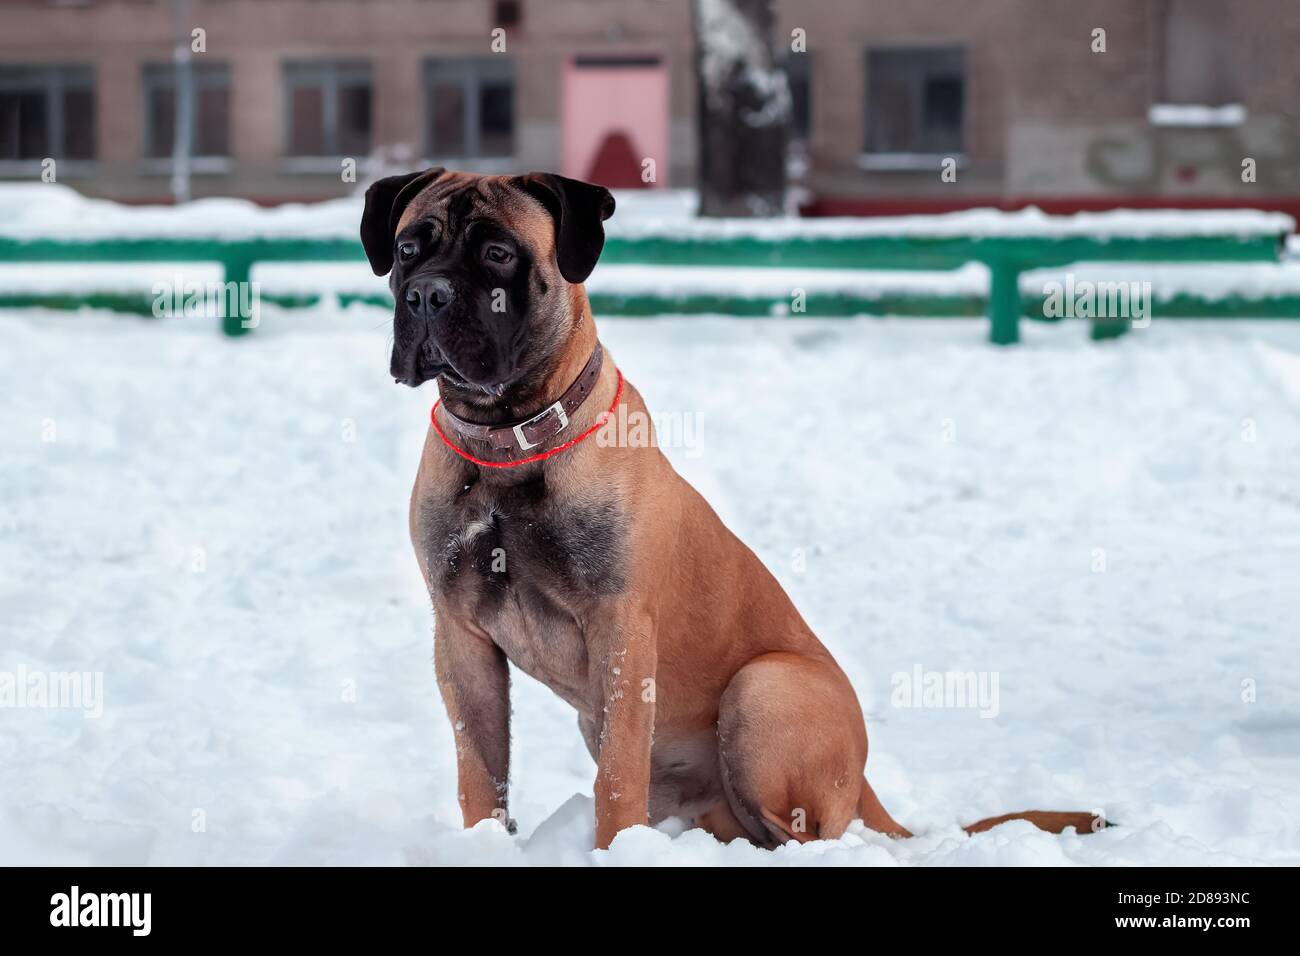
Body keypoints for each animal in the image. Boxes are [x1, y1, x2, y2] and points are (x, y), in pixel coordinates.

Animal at [358, 167, 1097, 848]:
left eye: (498, 253)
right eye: (407, 248)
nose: (426, 294)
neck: (507, 439)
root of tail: (864, 781)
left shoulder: (622, 629)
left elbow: (616, 779)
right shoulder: (462, 634)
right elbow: (480, 771)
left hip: (762, 690)